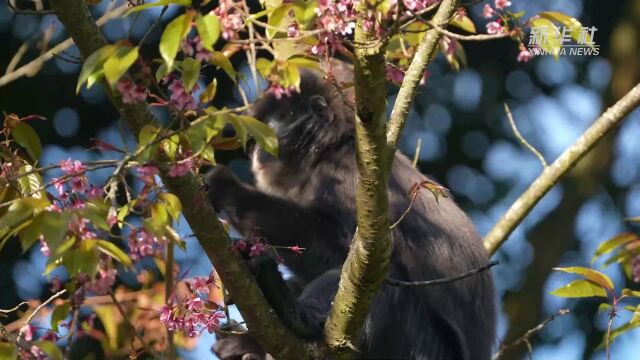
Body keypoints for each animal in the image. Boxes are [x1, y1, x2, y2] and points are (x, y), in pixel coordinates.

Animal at [205, 71, 496, 358]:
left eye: (267, 131)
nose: (256, 153)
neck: (330, 148)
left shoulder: (349, 173)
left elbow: (351, 249)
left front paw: (227, 189)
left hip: (419, 346)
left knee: (376, 272)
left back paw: (295, 314)